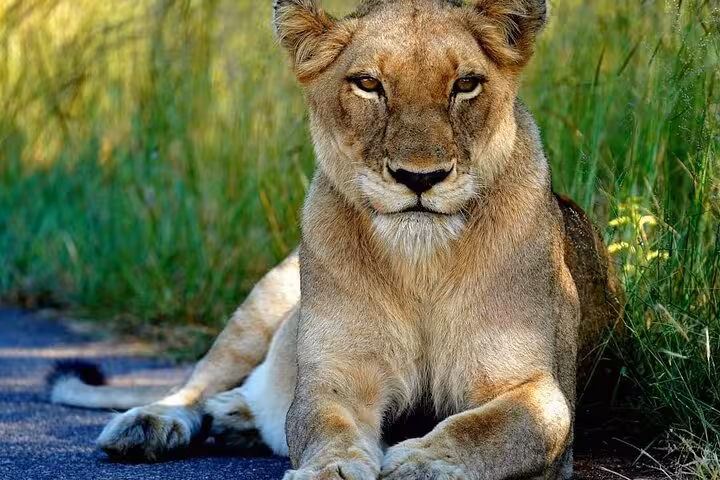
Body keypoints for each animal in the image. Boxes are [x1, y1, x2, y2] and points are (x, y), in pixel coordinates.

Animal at [48, 0, 625, 478]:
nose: (419, 177)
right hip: (266, 298)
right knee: (197, 381)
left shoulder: (537, 390)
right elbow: (328, 428)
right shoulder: (336, 377)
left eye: (465, 84)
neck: (420, 263)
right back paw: (151, 423)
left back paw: (233, 418)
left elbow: (493, 428)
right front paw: (330, 471)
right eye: (368, 84)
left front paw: (421, 462)